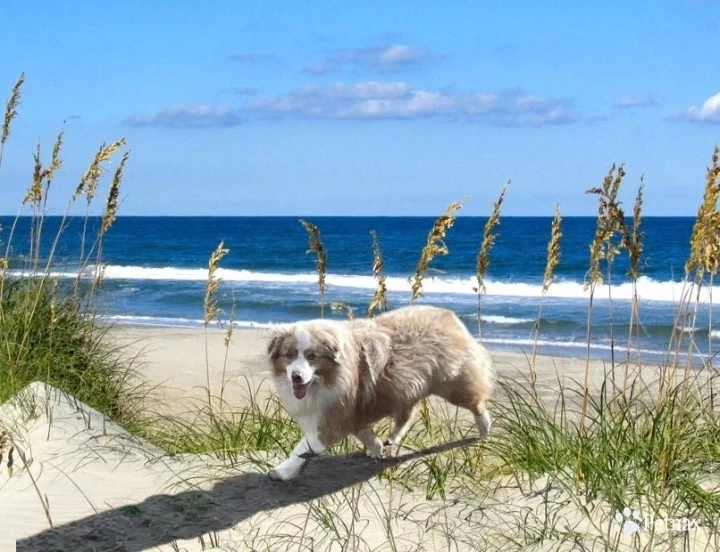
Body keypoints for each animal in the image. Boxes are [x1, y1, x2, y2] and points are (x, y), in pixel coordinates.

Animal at [266, 304, 496, 480]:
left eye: (312, 356)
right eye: (289, 355)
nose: (296, 376)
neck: (325, 379)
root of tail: (448, 314)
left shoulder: (333, 417)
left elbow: (305, 446)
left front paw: (282, 471)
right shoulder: (351, 412)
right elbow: (364, 433)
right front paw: (376, 449)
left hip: (454, 385)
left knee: (476, 402)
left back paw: (484, 427)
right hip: (406, 391)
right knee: (406, 417)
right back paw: (391, 441)